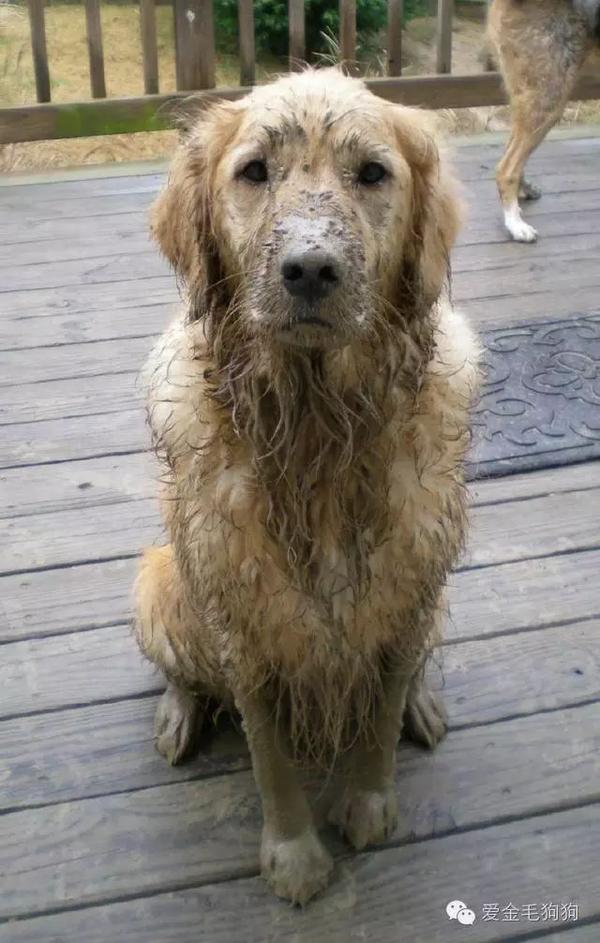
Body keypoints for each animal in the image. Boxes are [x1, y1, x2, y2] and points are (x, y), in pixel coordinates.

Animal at [135, 70, 478, 904]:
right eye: (254, 171)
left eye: (373, 174)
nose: (311, 269)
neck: (318, 427)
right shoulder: (244, 616)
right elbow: (268, 755)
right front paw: (293, 854)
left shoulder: (408, 588)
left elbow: (380, 711)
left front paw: (370, 803)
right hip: (156, 582)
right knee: (184, 674)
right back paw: (177, 717)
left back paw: (425, 703)